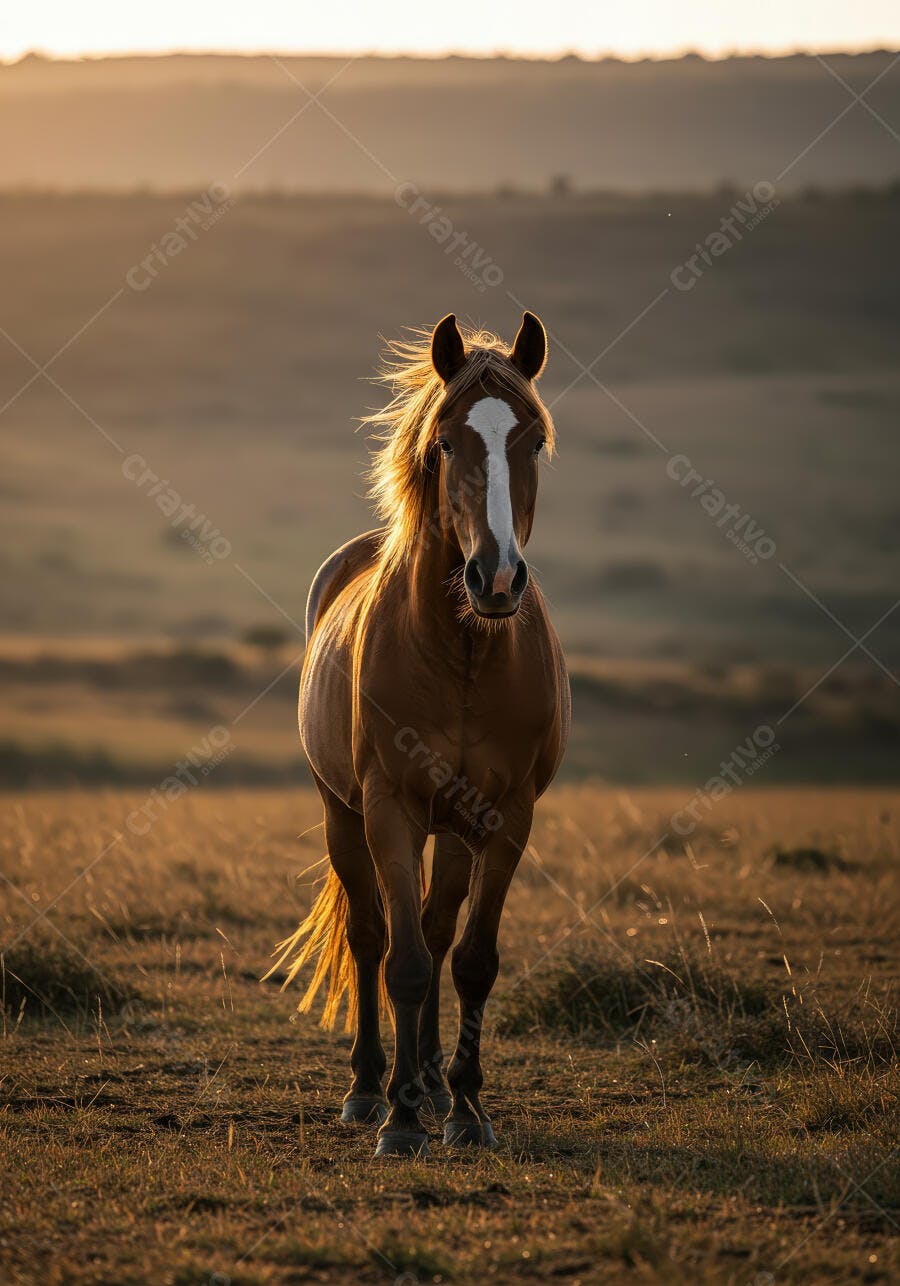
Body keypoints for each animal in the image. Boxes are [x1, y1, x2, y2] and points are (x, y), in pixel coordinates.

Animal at [269, 311, 570, 1158]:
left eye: (533, 439)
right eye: (444, 441)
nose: (495, 578)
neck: (464, 652)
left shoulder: (505, 818)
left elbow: (470, 961)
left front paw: (466, 1108)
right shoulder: (390, 809)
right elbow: (400, 961)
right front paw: (400, 1120)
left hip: (457, 829)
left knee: (438, 933)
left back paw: (434, 1082)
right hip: (342, 814)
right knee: (373, 935)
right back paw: (373, 1088)